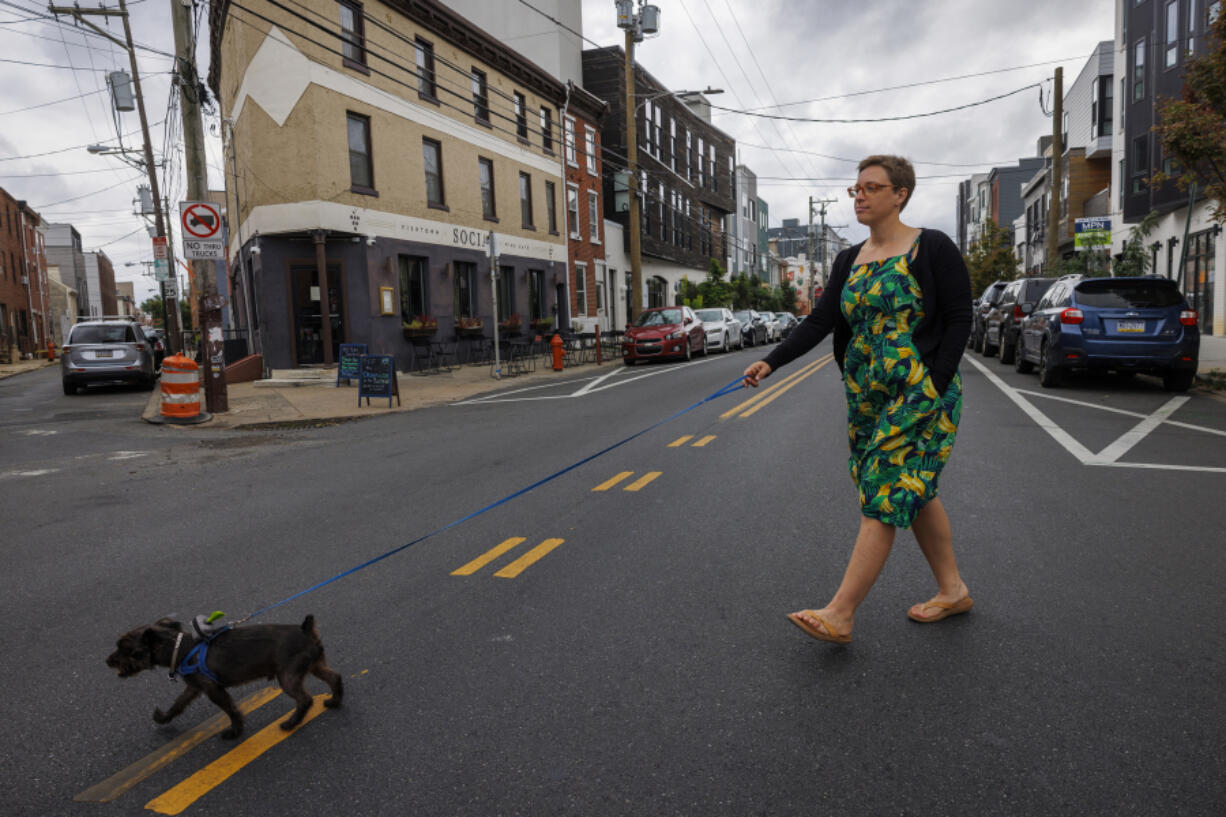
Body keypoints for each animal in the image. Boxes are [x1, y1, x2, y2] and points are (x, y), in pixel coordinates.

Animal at [107, 613, 343, 736]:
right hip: (315, 665)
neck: (179, 647)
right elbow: (178, 703)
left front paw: (235, 731)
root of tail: (306, 629)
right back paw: (334, 702)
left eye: (125, 648)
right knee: (335, 677)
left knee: (305, 699)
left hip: (287, 677)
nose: (108, 661)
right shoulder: (194, 687)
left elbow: (231, 710)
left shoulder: (213, 689)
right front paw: (163, 717)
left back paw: (292, 723)